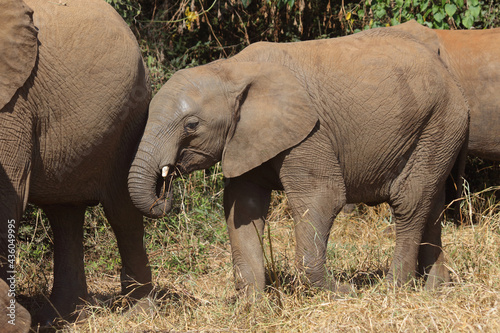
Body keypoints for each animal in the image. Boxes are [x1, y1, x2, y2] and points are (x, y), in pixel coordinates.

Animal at [0, 0, 151, 324]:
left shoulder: (14, 102)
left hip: (131, 114)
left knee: (122, 211)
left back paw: (140, 311)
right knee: (64, 215)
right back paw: (64, 317)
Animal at [128, 27, 468, 294]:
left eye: (191, 125)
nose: (165, 190)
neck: (232, 69)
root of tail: (447, 72)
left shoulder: (309, 133)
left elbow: (323, 197)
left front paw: (340, 292)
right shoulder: (246, 137)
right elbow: (242, 207)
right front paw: (253, 305)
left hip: (440, 120)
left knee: (409, 201)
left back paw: (392, 289)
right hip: (437, 129)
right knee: (431, 203)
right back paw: (435, 289)